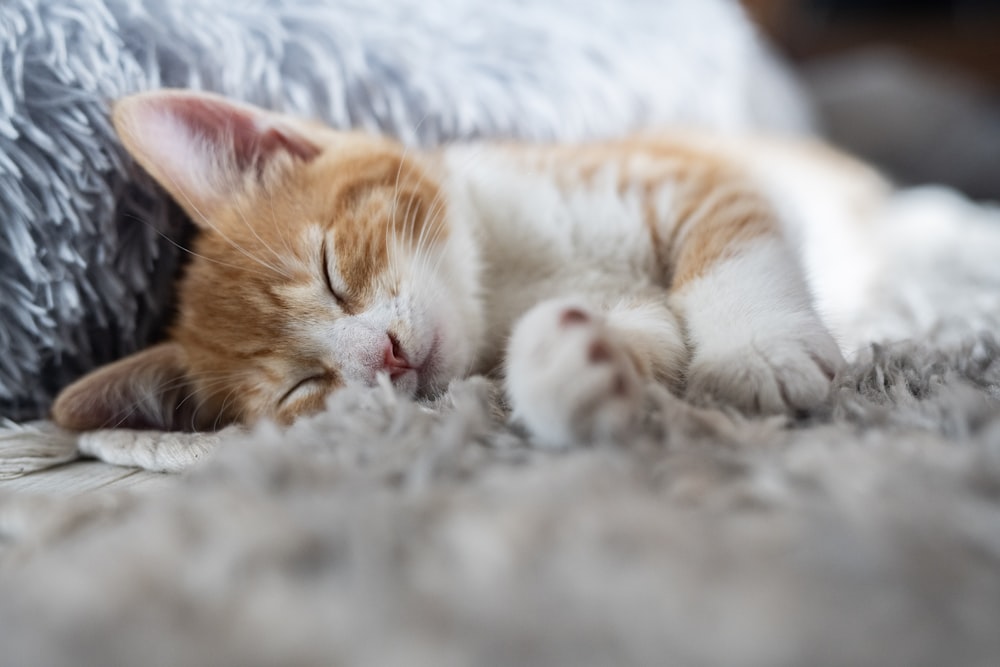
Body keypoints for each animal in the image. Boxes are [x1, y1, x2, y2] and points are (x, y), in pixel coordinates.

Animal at [54, 88, 876, 444]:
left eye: (330, 271)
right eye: (301, 388)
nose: (384, 355)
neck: (501, 271)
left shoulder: (681, 174)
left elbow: (730, 245)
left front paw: (756, 348)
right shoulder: (625, 300)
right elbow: (644, 340)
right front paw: (567, 367)